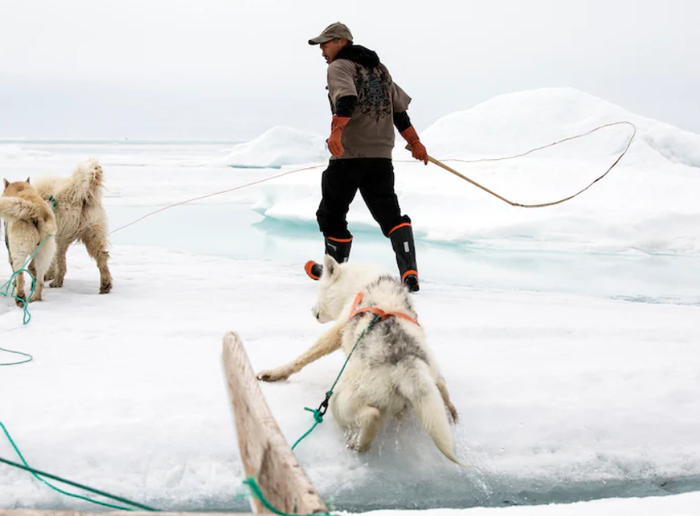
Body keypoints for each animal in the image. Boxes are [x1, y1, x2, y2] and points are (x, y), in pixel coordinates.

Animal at [33, 157, 112, 294]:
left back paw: (57, 282)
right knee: (102, 257)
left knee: (61, 262)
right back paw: (105, 285)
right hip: (93, 232)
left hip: (60, 235)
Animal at [258, 256, 460, 462]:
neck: (359, 284)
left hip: (340, 400)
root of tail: (406, 363)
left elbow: (307, 355)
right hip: (430, 378)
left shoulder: (338, 330)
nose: (311, 310)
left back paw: (358, 444)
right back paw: (450, 413)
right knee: (442, 387)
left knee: (371, 416)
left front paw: (275, 373)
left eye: (319, 291)